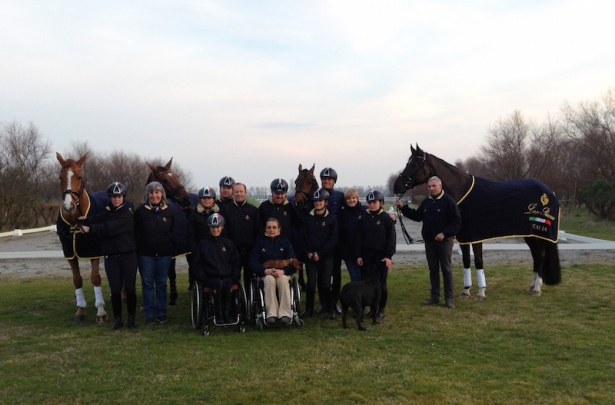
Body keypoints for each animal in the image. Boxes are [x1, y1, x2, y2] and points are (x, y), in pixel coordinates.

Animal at [55, 152, 108, 322]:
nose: (68, 206)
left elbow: (95, 277)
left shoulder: (94, 250)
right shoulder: (70, 253)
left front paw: (100, 311)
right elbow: (77, 280)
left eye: (79, 177)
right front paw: (80, 310)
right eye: (60, 177)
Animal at [394, 144, 564, 296]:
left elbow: (478, 261)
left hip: (539, 234)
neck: (462, 191)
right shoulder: (464, 237)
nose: (397, 186)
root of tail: (550, 192)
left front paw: (481, 292)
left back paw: (537, 288)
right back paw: (532, 285)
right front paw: (466, 290)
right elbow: (466, 261)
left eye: (414, 164)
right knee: (535, 255)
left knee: (540, 255)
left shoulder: (475, 237)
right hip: (530, 234)